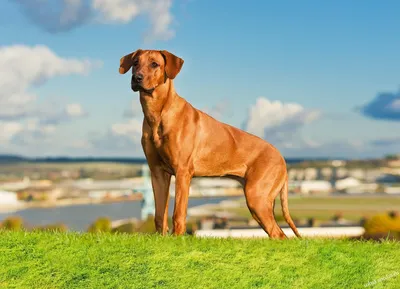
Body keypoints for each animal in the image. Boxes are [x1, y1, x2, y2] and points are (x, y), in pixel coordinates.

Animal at [119, 50, 300, 238]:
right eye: (135, 63)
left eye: (154, 64)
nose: (136, 77)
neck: (157, 114)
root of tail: (282, 159)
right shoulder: (157, 173)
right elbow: (159, 215)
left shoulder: (182, 172)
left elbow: (178, 213)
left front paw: (178, 240)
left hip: (256, 197)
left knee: (279, 234)